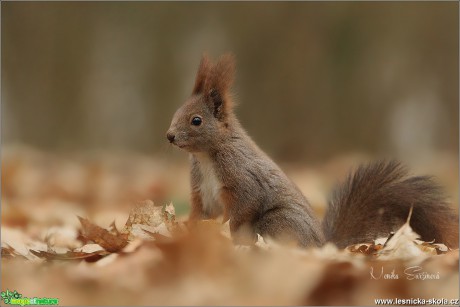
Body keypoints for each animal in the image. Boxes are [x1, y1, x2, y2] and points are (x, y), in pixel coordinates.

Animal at [166, 53, 460, 250]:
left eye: (196, 120)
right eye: (176, 112)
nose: (169, 136)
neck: (207, 155)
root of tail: (322, 246)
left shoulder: (242, 179)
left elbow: (241, 210)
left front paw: (226, 235)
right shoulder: (201, 192)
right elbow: (199, 214)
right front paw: (189, 232)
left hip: (278, 221)